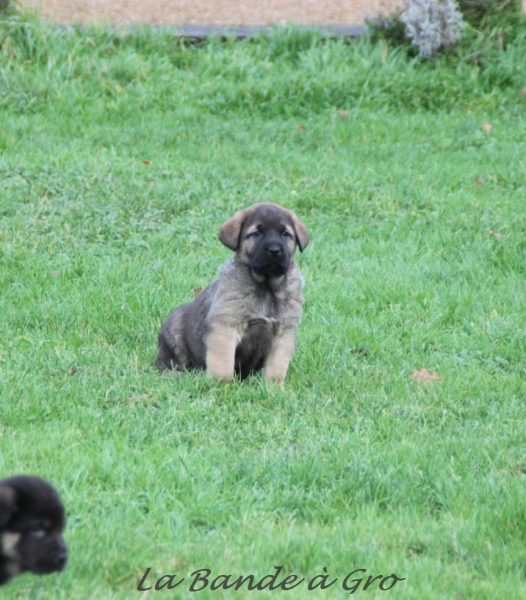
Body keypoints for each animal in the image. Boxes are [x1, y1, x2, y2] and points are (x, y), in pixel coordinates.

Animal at [159, 203, 312, 384]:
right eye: (256, 233)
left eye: (285, 234)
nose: (274, 251)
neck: (266, 287)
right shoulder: (225, 327)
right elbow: (223, 363)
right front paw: (220, 385)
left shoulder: (284, 332)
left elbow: (276, 367)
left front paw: (274, 387)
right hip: (174, 332)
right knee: (167, 364)